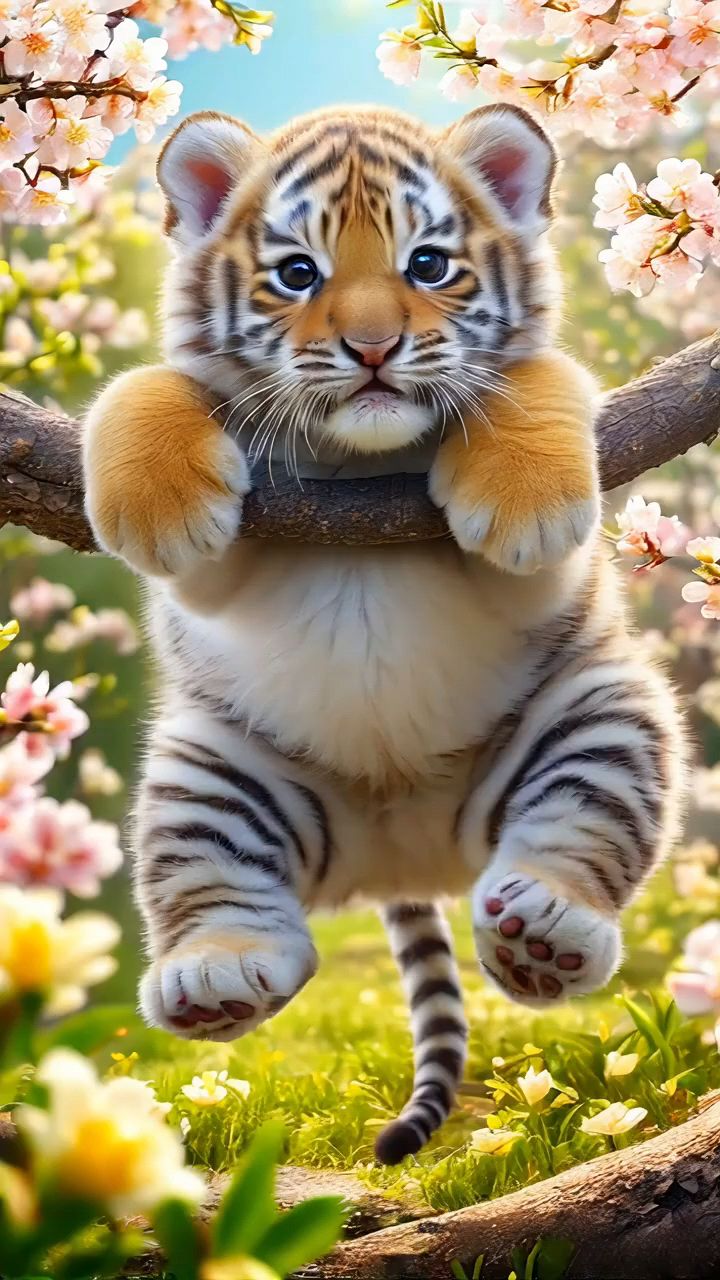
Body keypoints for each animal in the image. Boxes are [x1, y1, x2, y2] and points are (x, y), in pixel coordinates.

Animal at [83, 102, 685, 1164]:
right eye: (297, 274)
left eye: (430, 264)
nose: (372, 348)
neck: (361, 464)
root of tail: (406, 857)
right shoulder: (215, 578)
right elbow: (148, 386)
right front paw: (157, 502)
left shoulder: (545, 580)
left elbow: (537, 378)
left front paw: (525, 495)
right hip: (208, 777)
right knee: (229, 902)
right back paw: (216, 974)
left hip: (600, 713)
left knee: (578, 826)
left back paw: (547, 929)